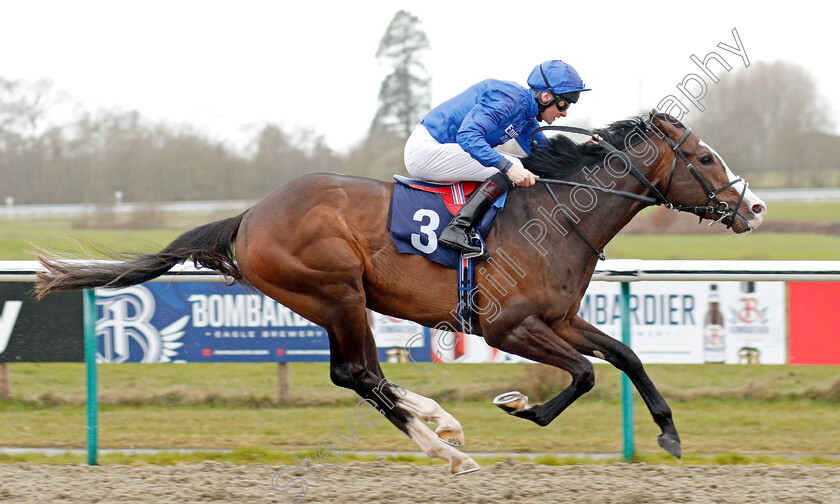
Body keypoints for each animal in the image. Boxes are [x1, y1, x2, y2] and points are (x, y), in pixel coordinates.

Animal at [34, 111, 768, 476]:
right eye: (705, 158)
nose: (753, 207)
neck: (558, 212)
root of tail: (249, 215)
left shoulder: (558, 317)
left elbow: (624, 356)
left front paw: (669, 433)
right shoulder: (507, 326)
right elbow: (585, 374)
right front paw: (520, 407)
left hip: (339, 300)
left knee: (364, 374)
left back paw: (439, 428)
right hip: (335, 291)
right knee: (355, 372)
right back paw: (445, 442)